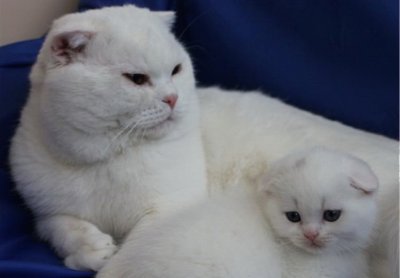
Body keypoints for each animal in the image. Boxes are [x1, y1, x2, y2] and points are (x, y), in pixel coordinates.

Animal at [10, 5, 206, 272]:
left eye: (176, 70)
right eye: (136, 78)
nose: (173, 97)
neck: (106, 159)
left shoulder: (168, 211)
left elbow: (132, 254)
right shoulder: (45, 216)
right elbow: (63, 226)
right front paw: (92, 250)